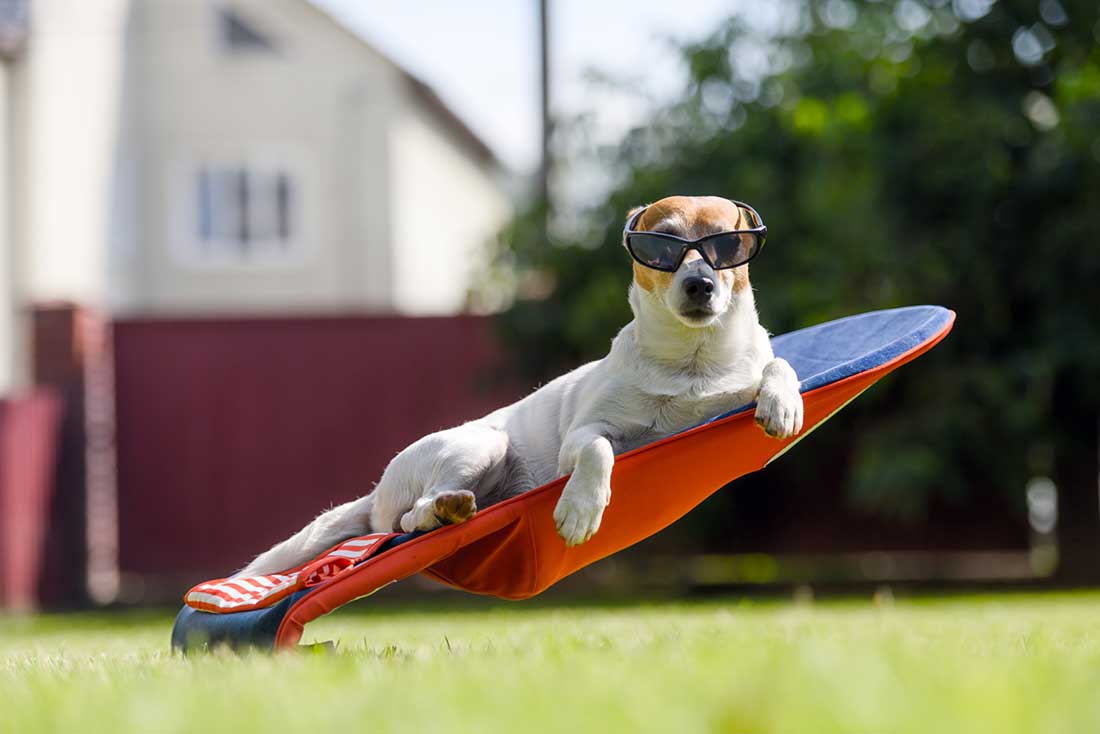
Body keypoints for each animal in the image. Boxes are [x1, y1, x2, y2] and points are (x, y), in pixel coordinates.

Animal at [238, 194, 800, 581]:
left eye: (727, 245)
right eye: (660, 246)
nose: (698, 285)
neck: (691, 363)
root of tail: (376, 490)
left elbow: (779, 364)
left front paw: (782, 403)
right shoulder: (583, 437)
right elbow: (598, 449)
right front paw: (580, 508)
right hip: (479, 445)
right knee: (410, 518)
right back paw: (446, 508)